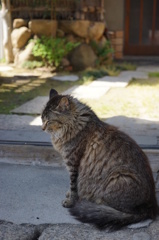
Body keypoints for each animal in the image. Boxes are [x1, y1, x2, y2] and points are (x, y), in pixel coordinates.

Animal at [41, 88, 158, 231]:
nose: (42, 128)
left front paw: (70, 201)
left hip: (119, 177)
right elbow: (71, 187)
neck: (77, 125)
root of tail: (152, 207)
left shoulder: (73, 164)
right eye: (41, 119)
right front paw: (69, 195)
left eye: (48, 121)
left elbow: (73, 186)